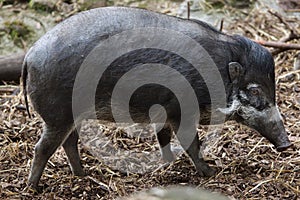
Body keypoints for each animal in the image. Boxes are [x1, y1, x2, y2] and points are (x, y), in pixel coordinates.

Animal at [22, 6, 292, 191]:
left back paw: (83, 174)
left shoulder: (165, 111)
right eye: (255, 90)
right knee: (43, 147)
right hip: (58, 116)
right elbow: (190, 142)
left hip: (71, 116)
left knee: (70, 142)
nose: (287, 144)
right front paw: (210, 172)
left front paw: (169, 163)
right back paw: (33, 187)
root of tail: (30, 54)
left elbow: (163, 136)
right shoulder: (181, 111)